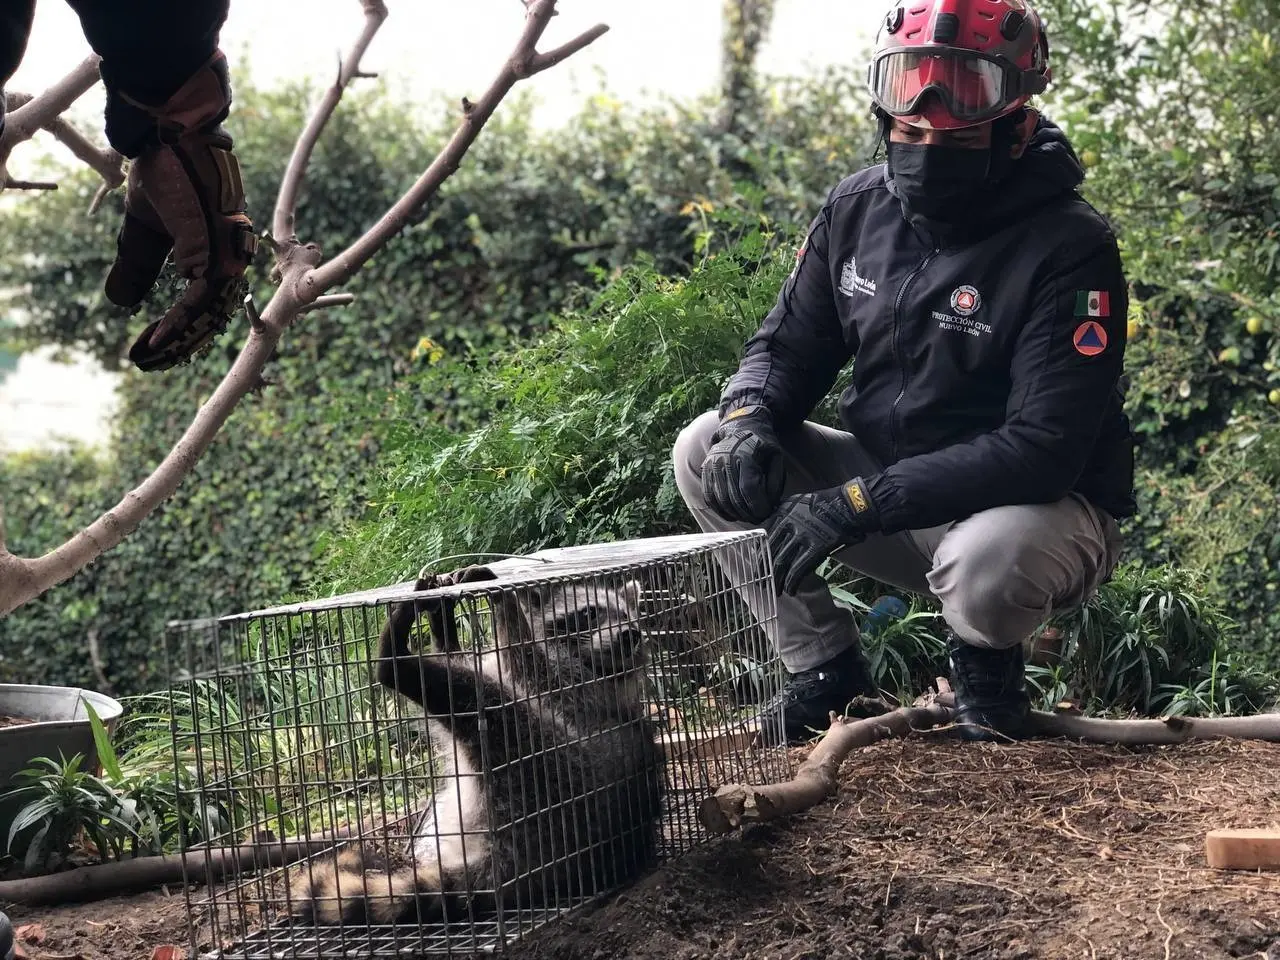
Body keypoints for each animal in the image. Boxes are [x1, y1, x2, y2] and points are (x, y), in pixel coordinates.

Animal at [289, 568, 665, 926]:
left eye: (628, 617)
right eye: (590, 613)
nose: (631, 634)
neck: (598, 665)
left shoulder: (576, 695)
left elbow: (523, 658)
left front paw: (506, 602)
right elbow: (463, 657)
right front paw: (445, 625)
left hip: (557, 782)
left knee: (486, 701)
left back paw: (395, 662)